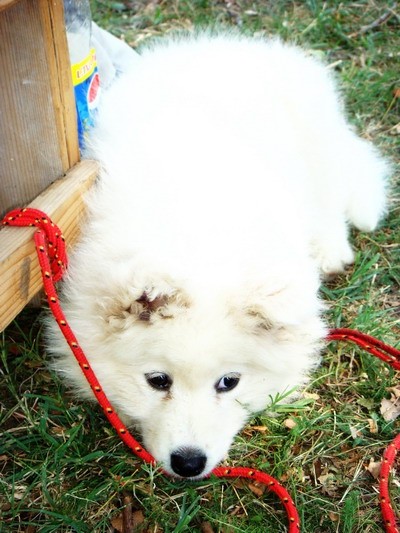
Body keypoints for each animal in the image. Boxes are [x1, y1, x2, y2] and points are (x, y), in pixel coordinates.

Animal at [45, 30, 390, 478]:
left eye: (229, 382)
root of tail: (242, 45)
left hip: (318, 148)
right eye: (158, 380)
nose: (189, 463)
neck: (196, 233)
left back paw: (331, 249)